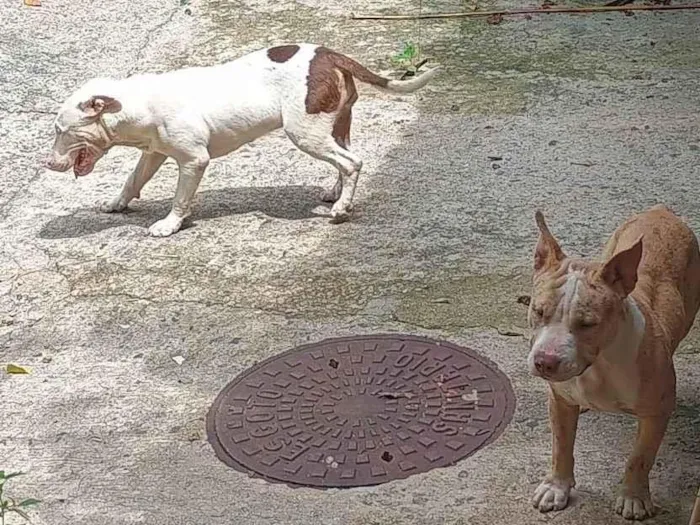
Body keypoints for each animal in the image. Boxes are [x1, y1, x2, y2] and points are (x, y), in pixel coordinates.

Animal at [46, 43, 440, 235]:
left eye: (60, 131)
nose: (47, 163)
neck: (138, 103)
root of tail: (330, 55)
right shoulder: (154, 153)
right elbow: (133, 179)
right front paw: (117, 203)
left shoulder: (194, 160)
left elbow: (180, 198)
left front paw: (170, 225)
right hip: (334, 125)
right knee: (344, 160)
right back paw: (337, 193)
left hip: (304, 132)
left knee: (352, 162)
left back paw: (342, 208)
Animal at [524, 205, 700, 520]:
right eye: (538, 310)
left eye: (588, 324)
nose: (545, 362)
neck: (598, 367)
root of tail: (661, 210)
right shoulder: (559, 399)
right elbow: (561, 445)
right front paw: (556, 486)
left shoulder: (657, 410)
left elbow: (640, 457)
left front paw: (633, 497)